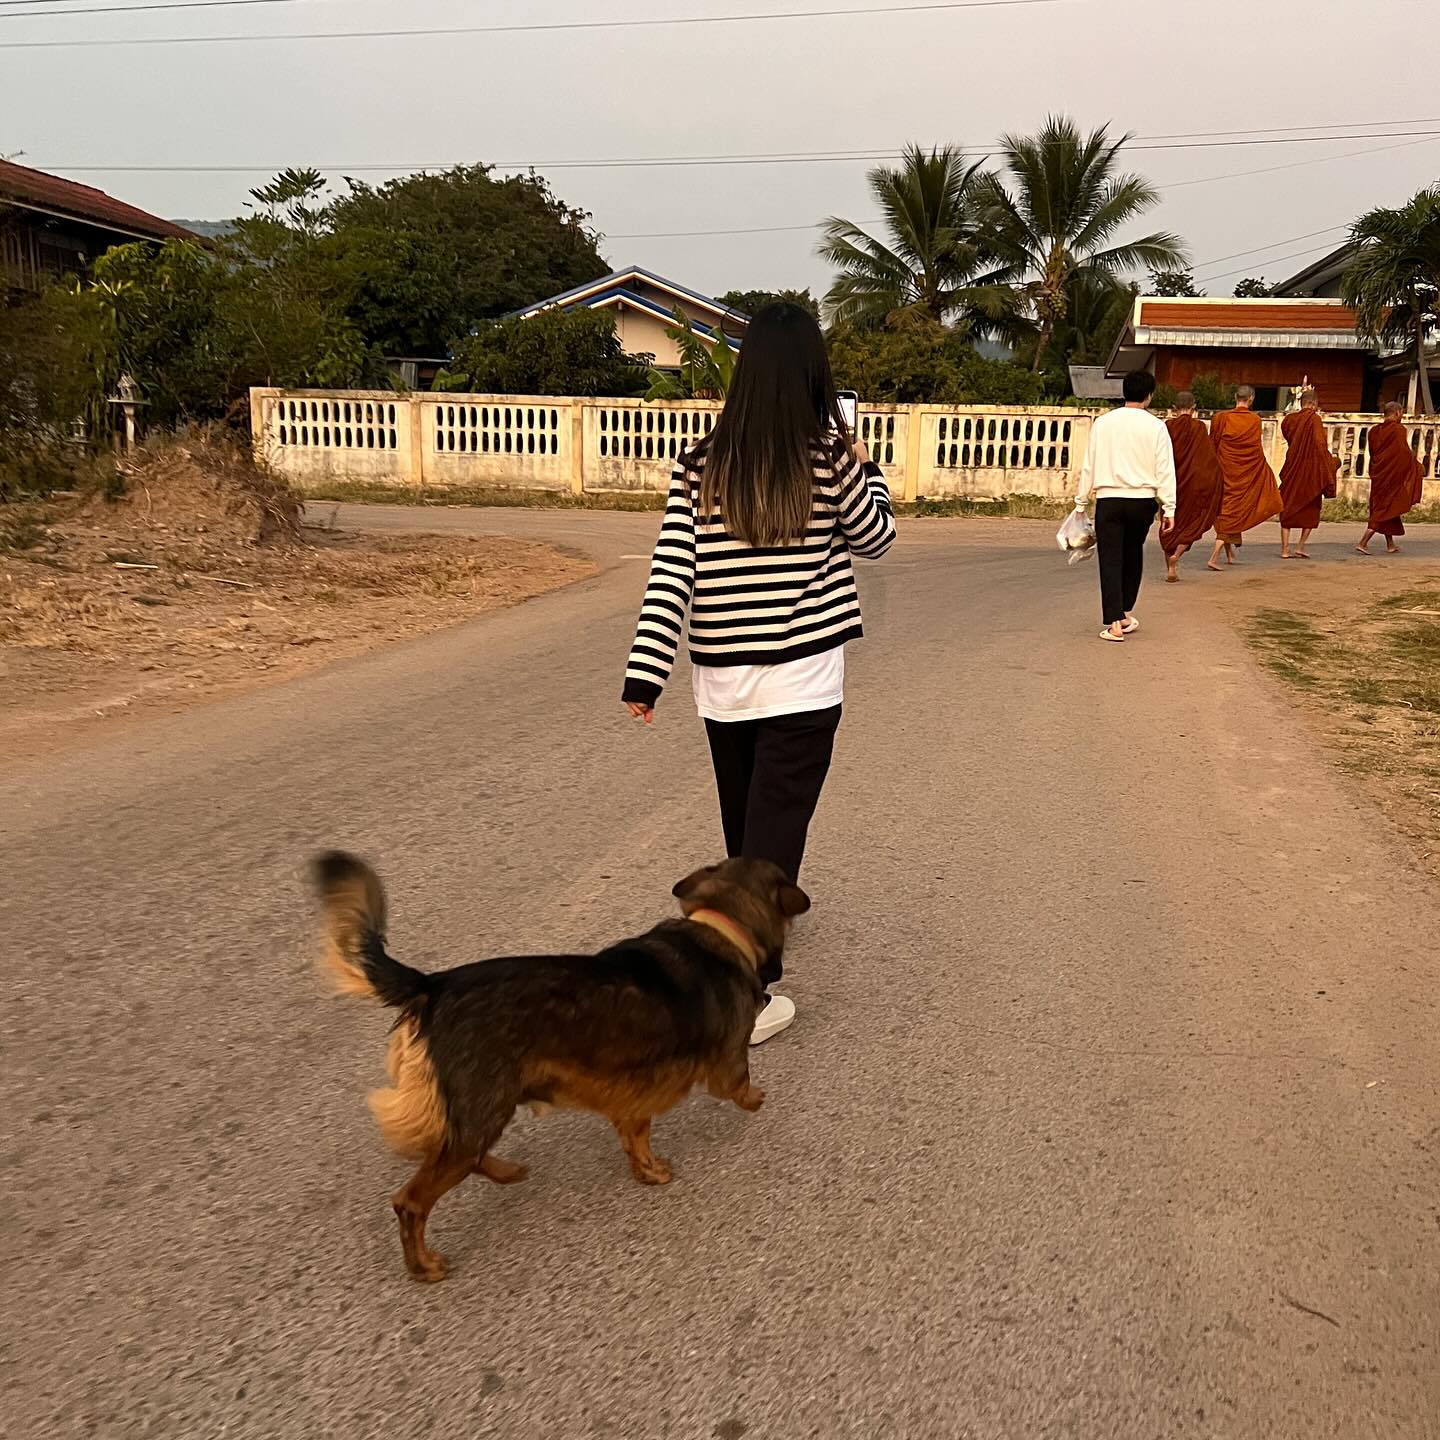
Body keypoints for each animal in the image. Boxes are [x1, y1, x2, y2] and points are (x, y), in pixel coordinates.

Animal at [313, 846, 806, 1278]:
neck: (722, 925)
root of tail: (434, 986)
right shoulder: (724, 1065)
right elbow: (737, 1085)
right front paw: (755, 1098)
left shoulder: (632, 1092)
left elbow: (636, 1135)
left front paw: (647, 1170)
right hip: (482, 1109)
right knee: (414, 1199)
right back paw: (424, 1265)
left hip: (479, 1112)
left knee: (455, 1154)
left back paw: (506, 1171)